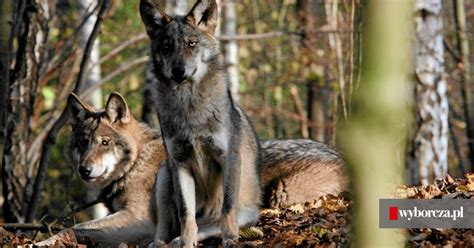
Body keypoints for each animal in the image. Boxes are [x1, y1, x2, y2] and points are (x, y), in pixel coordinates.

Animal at [42, 92, 346, 247]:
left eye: (104, 142)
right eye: (82, 142)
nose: (85, 170)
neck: (136, 162)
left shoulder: (138, 218)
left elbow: (75, 227)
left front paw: (46, 242)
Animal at [139, 0, 262, 245]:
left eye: (192, 43)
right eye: (167, 46)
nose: (178, 71)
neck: (189, 107)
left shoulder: (229, 158)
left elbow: (227, 209)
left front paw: (230, 240)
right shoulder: (179, 163)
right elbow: (186, 214)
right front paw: (186, 243)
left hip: (245, 213)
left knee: (211, 224)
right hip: (164, 173)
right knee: (165, 230)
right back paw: (165, 242)